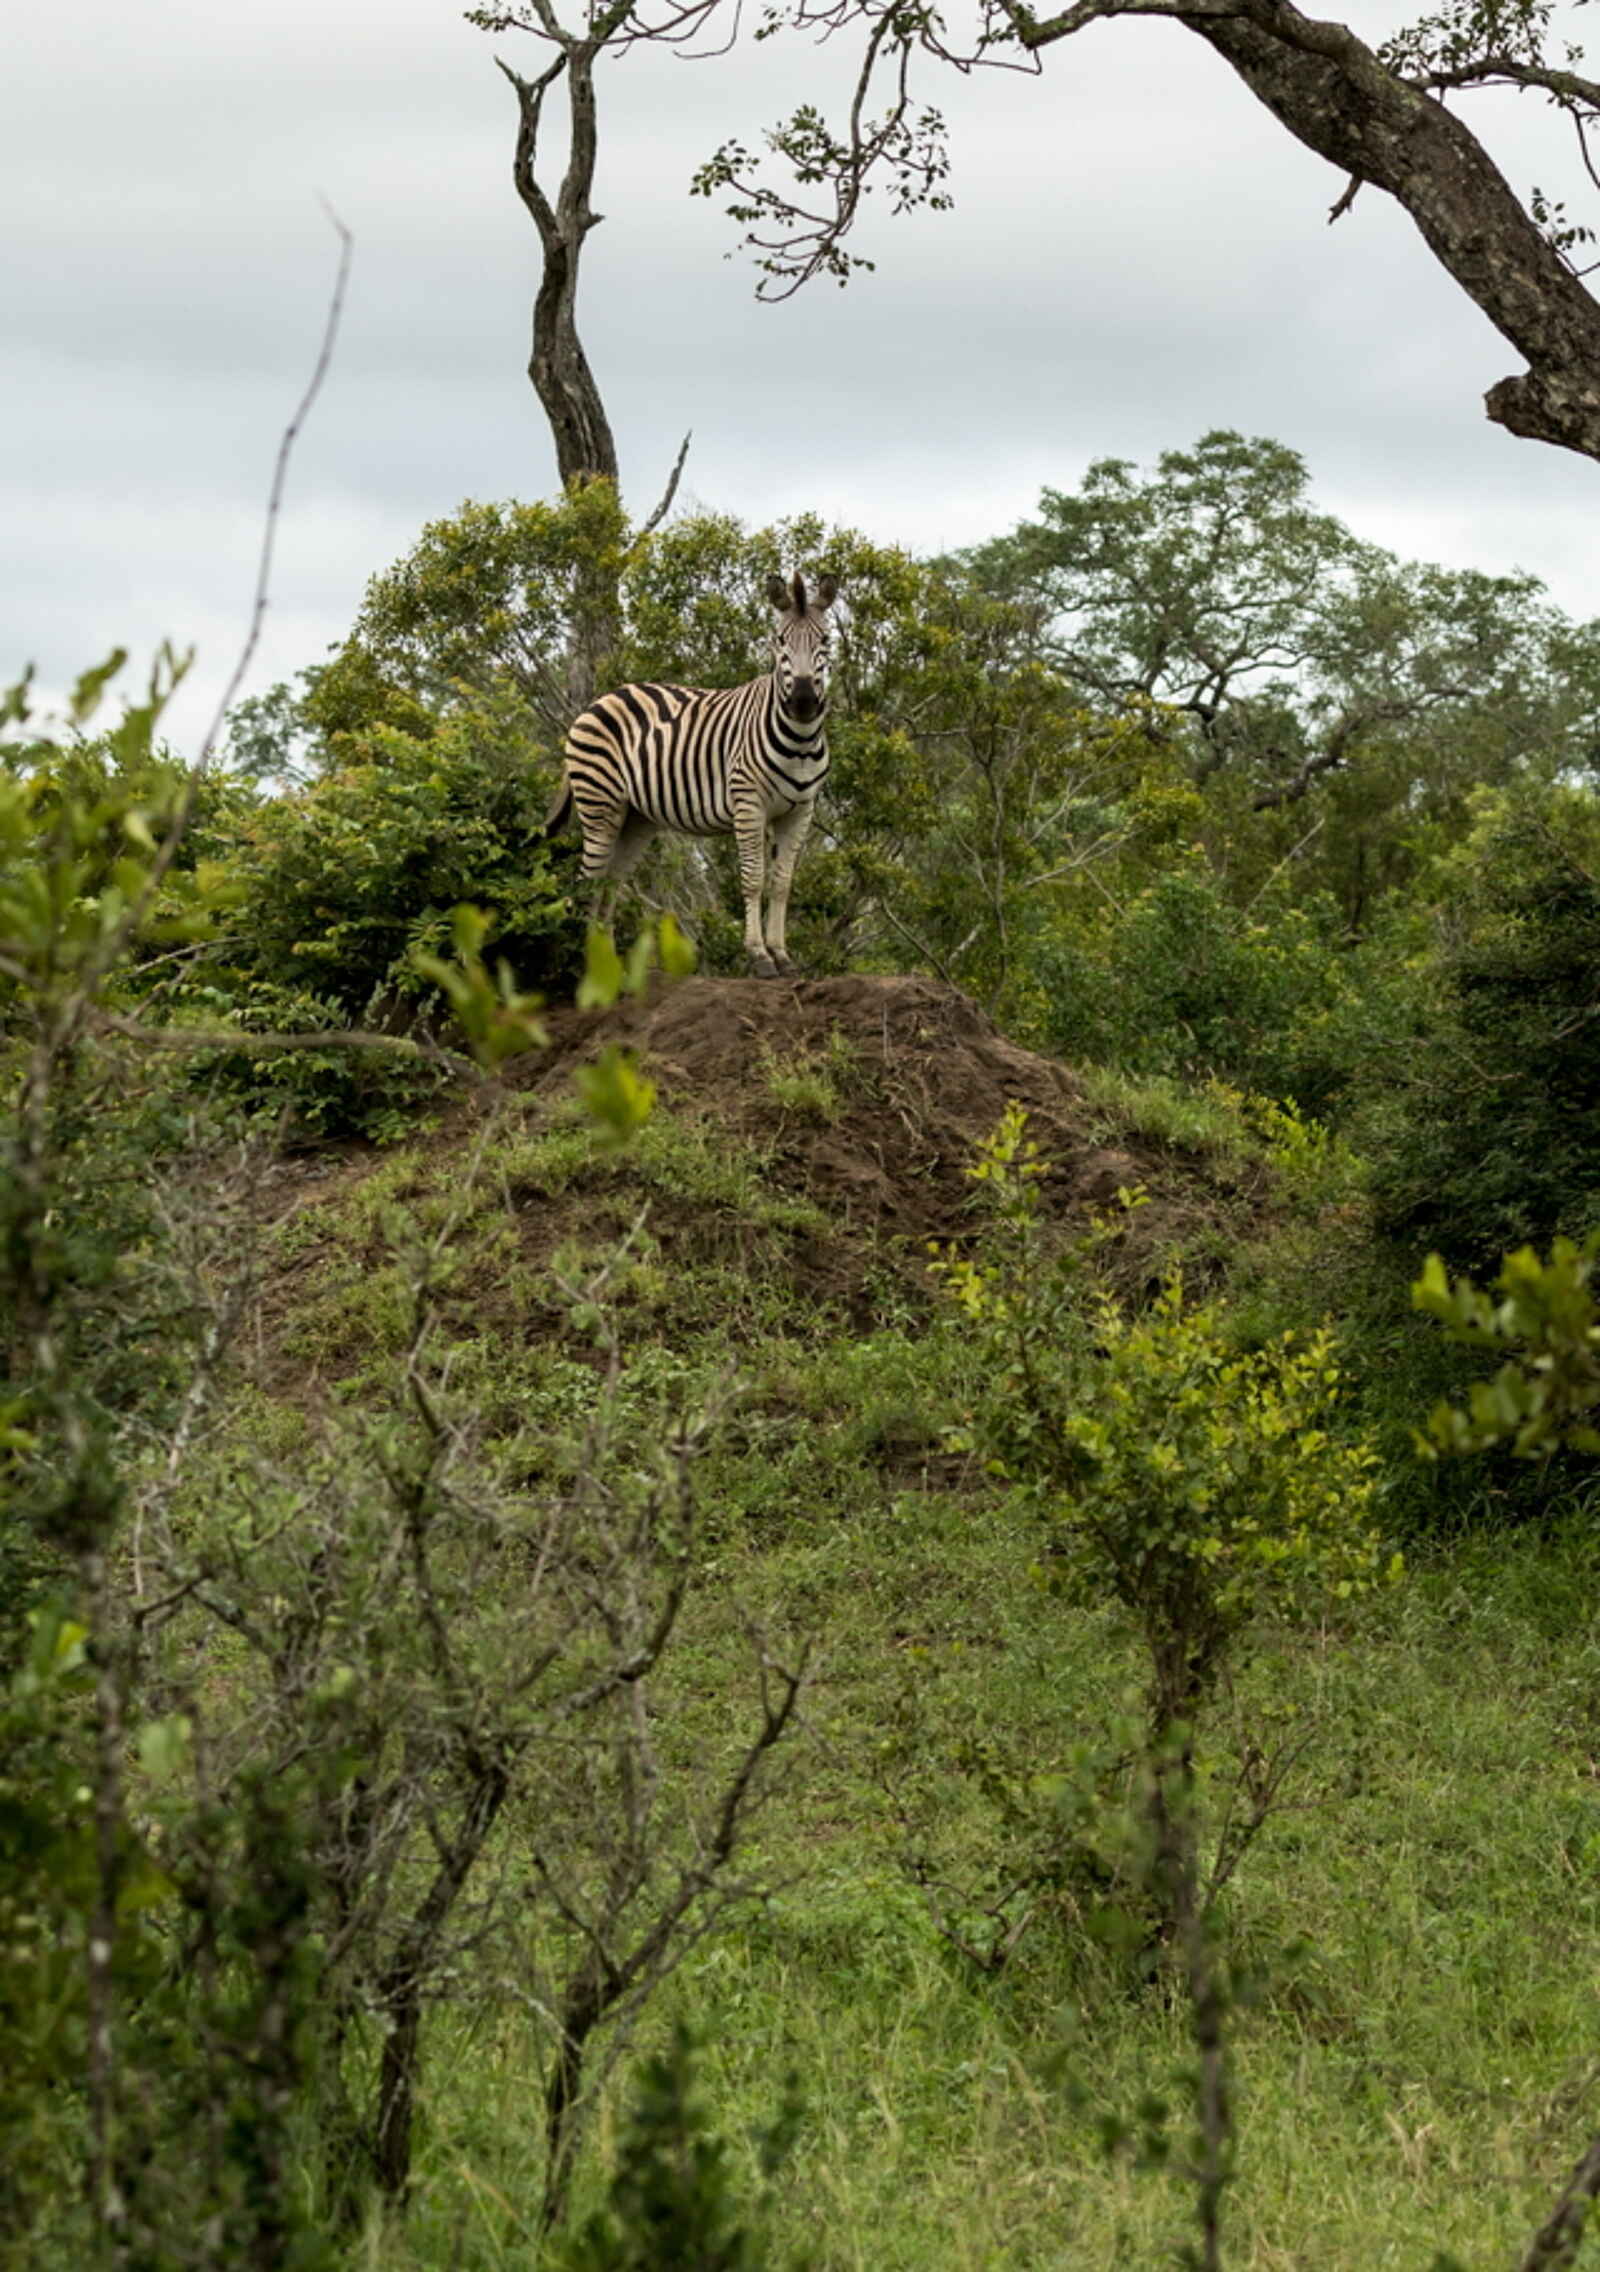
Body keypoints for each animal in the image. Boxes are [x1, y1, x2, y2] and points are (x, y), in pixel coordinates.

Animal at [544, 571, 838, 978]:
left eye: (825, 640)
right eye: (780, 640)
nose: (804, 701)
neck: (800, 741)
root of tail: (599, 700)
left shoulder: (800, 810)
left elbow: (781, 883)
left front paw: (782, 956)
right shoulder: (748, 803)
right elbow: (753, 878)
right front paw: (759, 957)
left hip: (636, 818)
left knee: (612, 881)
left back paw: (609, 965)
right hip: (600, 804)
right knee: (590, 879)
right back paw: (585, 963)